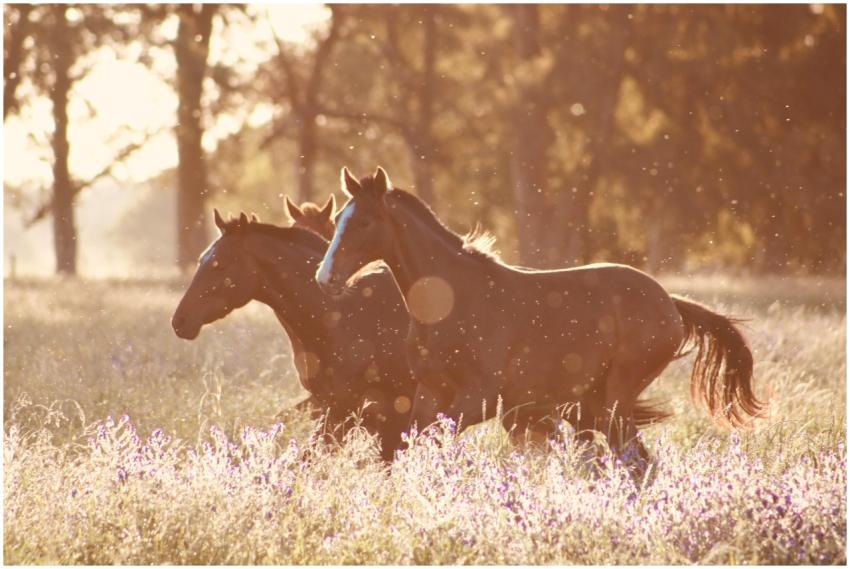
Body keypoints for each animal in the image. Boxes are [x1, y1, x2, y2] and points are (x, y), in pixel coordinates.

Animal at [171, 207, 416, 461]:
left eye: (219, 265)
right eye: (202, 260)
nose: (180, 321)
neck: (346, 316)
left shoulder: (388, 411)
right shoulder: (335, 408)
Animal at [315, 166, 765, 459]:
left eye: (365, 222)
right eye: (339, 219)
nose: (325, 277)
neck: (451, 302)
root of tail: (670, 302)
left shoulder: (480, 399)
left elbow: (431, 441)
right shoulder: (430, 392)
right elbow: (410, 443)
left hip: (615, 399)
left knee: (635, 461)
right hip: (592, 404)